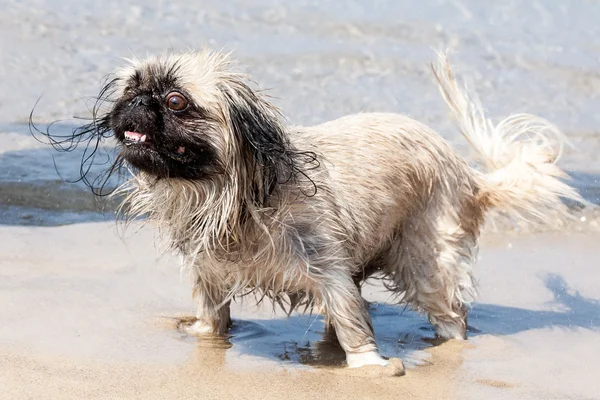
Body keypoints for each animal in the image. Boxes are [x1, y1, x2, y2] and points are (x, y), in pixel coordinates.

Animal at [35, 49, 584, 372]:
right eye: (131, 90)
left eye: (174, 101)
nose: (138, 101)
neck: (227, 192)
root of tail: (470, 177)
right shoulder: (209, 271)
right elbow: (214, 315)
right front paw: (203, 335)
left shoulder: (325, 266)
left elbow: (352, 320)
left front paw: (367, 366)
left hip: (427, 265)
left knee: (450, 315)